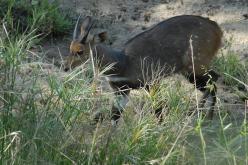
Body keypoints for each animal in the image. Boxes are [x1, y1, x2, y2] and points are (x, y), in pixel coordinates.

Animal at [64, 15, 223, 124]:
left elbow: (158, 109)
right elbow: (115, 115)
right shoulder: (121, 90)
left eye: (80, 51)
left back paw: (195, 112)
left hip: (195, 66)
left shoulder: (151, 82)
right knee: (213, 81)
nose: (65, 67)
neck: (123, 63)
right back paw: (209, 117)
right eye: (70, 47)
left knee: (213, 79)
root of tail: (217, 28)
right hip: (190, 72)